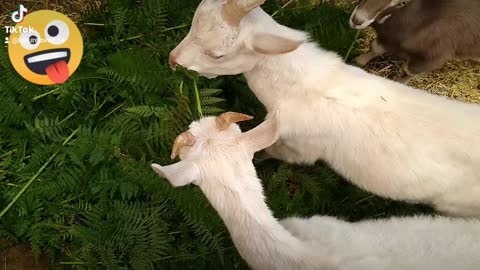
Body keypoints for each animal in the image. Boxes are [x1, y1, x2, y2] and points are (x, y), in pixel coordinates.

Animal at [348, 0, 480, 82]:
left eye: (402, 3)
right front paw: (358, 61)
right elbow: (376, 48)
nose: (357, 20)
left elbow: (408, 72)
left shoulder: (434, 57)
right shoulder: (391, 36)